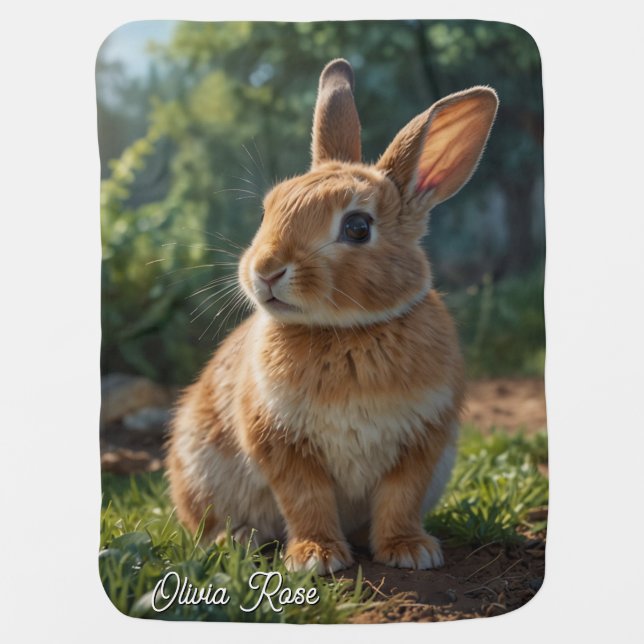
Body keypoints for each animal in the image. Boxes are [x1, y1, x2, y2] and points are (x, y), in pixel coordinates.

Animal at [166, 59, 498, 574]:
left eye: (358, 228)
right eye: (267, 211)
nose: (265, 270)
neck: (348, 331)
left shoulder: (422, 442)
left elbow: (400, 498)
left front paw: (410, 550)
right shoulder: (282, 445)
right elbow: (306, 500)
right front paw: (316, 557)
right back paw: (235, 540)